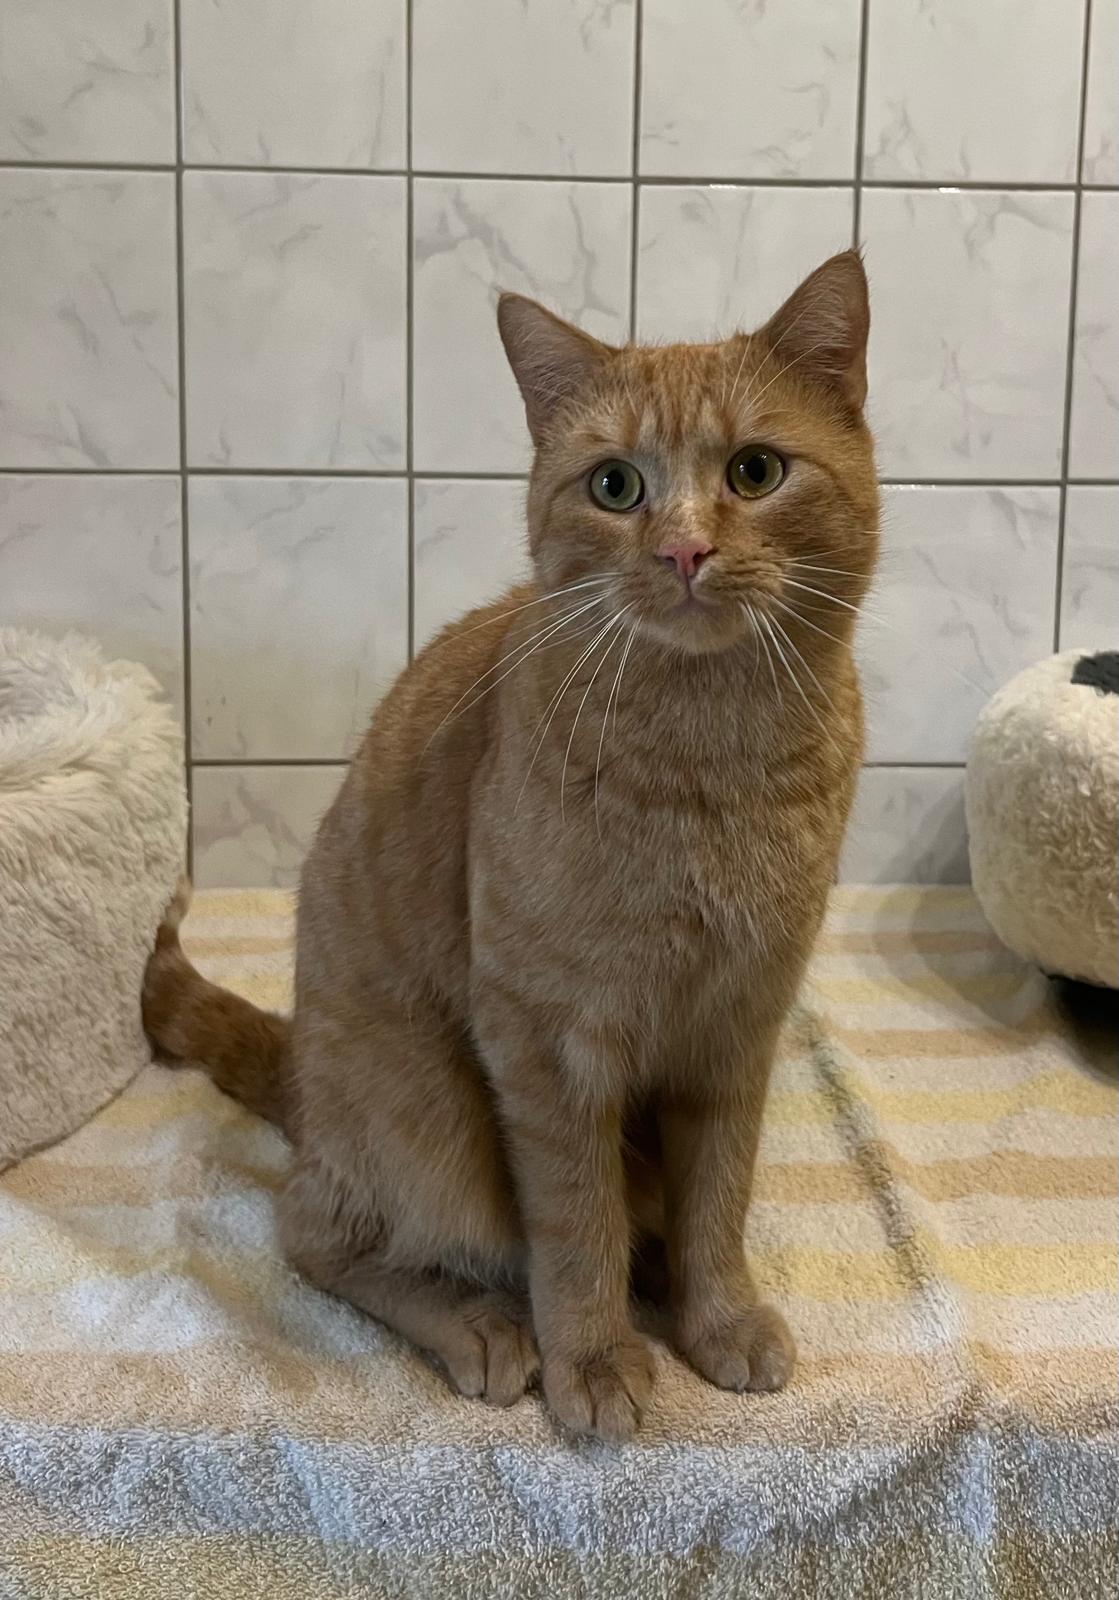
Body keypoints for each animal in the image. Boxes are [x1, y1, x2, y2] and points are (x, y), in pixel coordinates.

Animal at [143, 249, 879, 1441]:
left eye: (757, 471)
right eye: (615, 486)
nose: (684, 548)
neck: (712, 762)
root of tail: (303, 1071)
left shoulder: (737, 1030)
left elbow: (719, 1198)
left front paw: (717, 1317)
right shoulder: (547, 1041)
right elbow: (574, 1225)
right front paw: (594, 1358)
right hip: (428, 1117)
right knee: (317, 1232)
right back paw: (484, 1326)